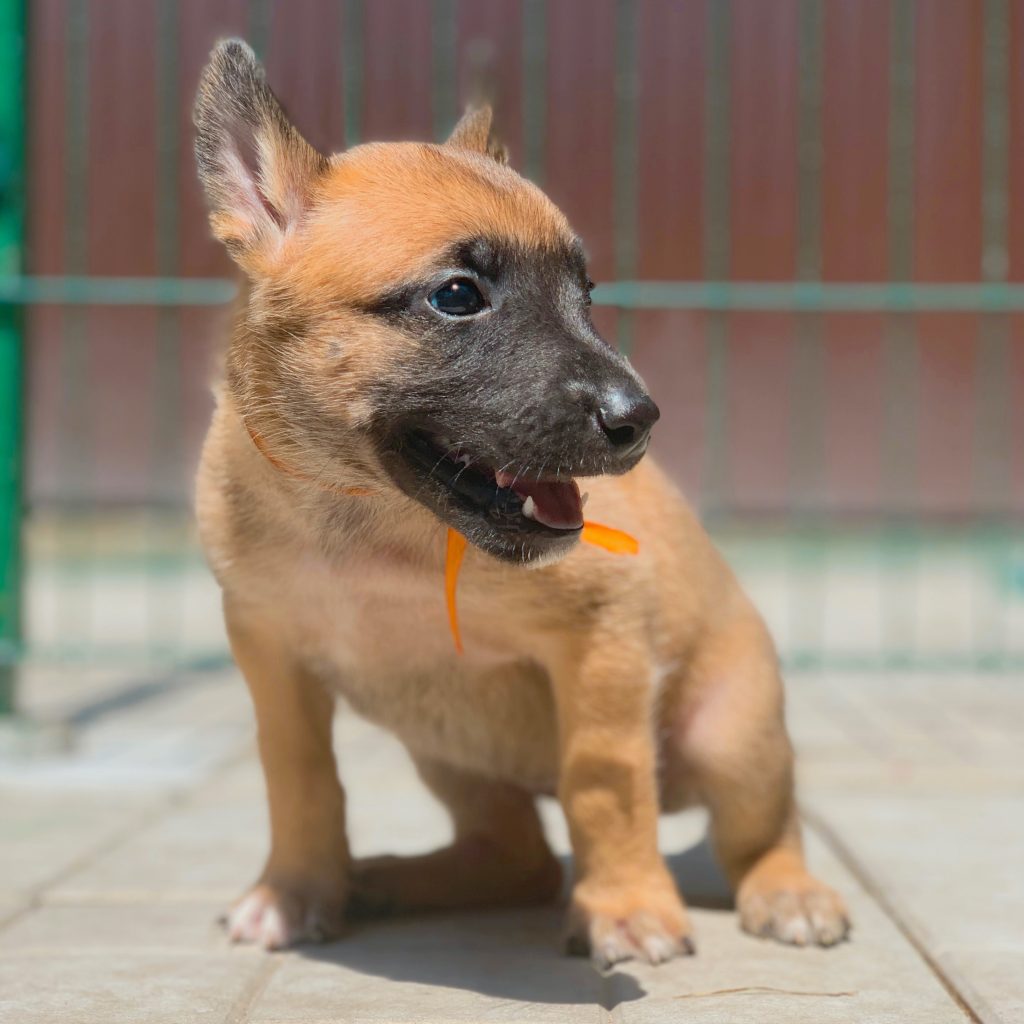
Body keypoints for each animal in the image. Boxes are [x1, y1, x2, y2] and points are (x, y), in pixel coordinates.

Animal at [192, 39, 847, 966]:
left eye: (587, 292)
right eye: (457, 295)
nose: (640, 420)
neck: (374, 522)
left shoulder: (603, 643)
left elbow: (605, 781)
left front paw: (627, 908)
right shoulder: (270, 655)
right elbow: (299, 775)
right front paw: (293, 891)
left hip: (736, 733)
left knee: (764, 826)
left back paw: (788, 891)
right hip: (448, 752)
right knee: (521, 856)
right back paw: (387, 879)